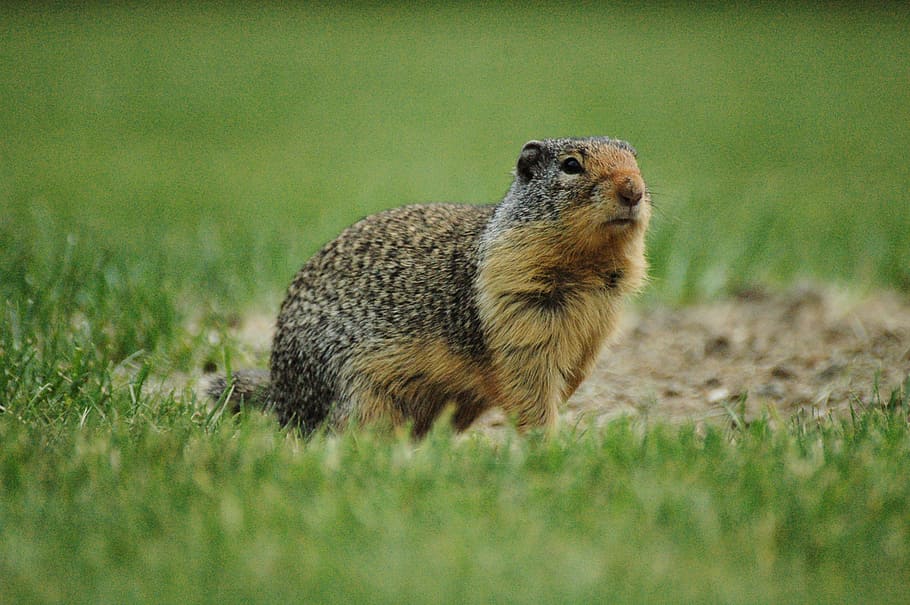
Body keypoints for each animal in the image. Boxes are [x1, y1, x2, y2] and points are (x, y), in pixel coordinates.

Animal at [207, 137, 651, 436]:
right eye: (571, 165)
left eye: (635, 159)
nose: (634, 189)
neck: (586, 270)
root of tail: (281, 392)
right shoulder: (519, 318)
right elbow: (531, 389)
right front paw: (547, 442)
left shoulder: (594, 332)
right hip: (357, 391)